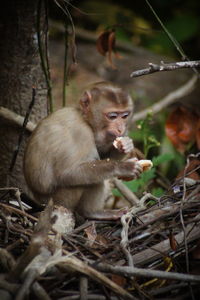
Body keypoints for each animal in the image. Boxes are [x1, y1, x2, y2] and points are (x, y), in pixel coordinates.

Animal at [23, 82, 143, 220]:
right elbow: (67, 172)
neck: (84, 118)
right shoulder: (81, 133)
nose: (121, 128)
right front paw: (122, 167)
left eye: (124, 116)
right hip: (59, 202)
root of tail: (39, 203)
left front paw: (125, 146)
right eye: (112, 116)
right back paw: (91, 212)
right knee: (88, 180)